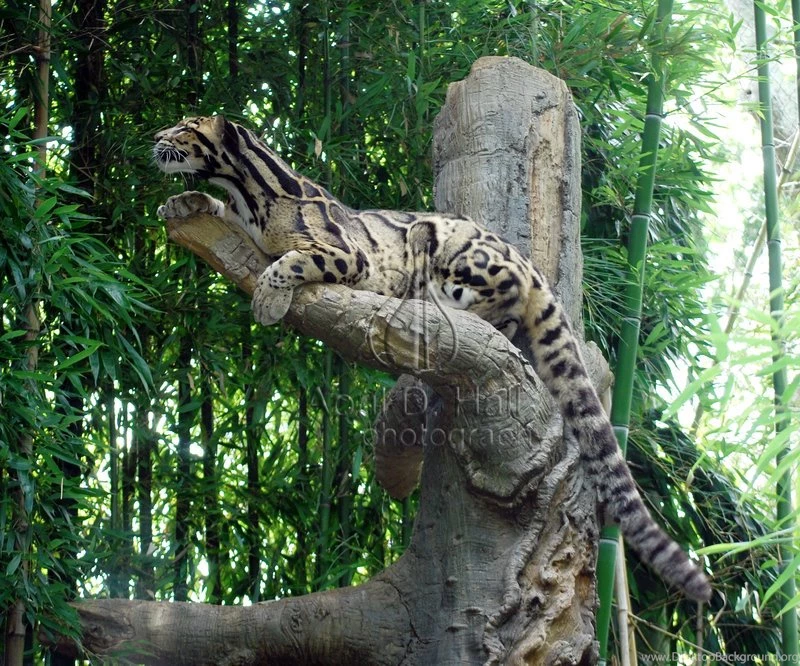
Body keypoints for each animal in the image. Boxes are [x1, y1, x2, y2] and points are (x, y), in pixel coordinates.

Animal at [154, 114, 711, 602]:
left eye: (184, 127)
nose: (155, 136)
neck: (249, 194)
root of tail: (528, 263)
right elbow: (217, 212)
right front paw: (182, 202)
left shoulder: (345, 254)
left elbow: (290, 261)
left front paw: (268, 300)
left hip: (450, 247)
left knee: (504, 306)